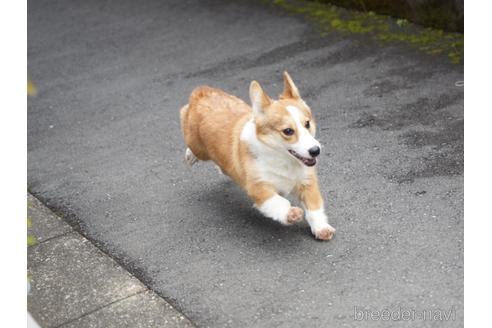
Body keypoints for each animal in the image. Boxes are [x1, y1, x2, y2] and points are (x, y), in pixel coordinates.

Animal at [179, 72, 336, 240]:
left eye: (307, 123)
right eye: (288, 131)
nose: (315, 150)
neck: (283, 159)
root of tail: (202, 92)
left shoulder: (308, 183)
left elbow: (314, 208)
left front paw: (321, 228)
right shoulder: (259, 188)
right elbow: (278, 202)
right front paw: (290, 213)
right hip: (197, 145)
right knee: (185, 119)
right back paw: (190, 156)